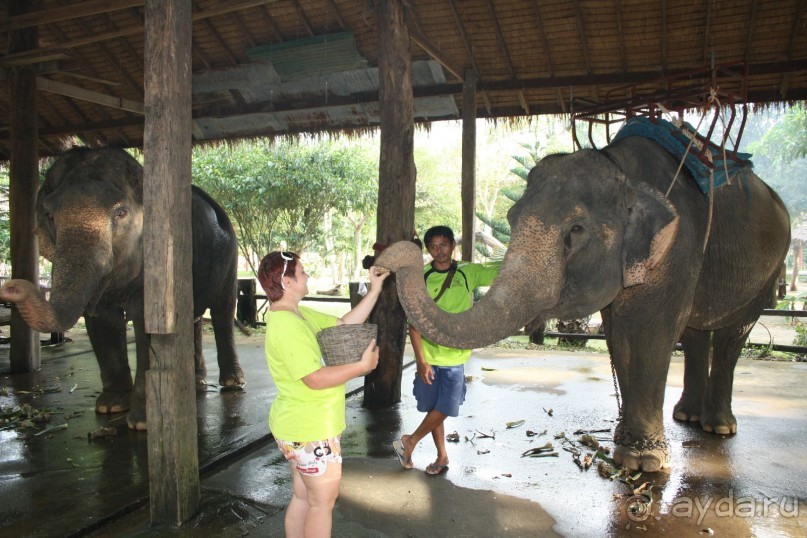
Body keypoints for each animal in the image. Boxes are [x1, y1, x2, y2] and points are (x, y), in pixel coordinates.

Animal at [0, 146, 246, 428]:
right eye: (50, 216)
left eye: (120, 213)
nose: (12, 286)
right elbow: (102, 320)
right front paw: (111, 407)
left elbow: (147, 325)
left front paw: (142, 423)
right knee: (193, 318)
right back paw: (196, 384)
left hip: (231, 254)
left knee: (222, 311)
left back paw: (232, 383)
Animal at [376, 134, 792, 468]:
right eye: (511, 216)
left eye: (576, 230)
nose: (391, 254)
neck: (621, 169)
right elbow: (618, 336)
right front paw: (624, 441)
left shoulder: (678, 250)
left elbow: (652, 333)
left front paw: (642, 462)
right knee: (694, 333)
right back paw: (688, 417)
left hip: (771, 269)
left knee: (733, 334)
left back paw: (717, 426)